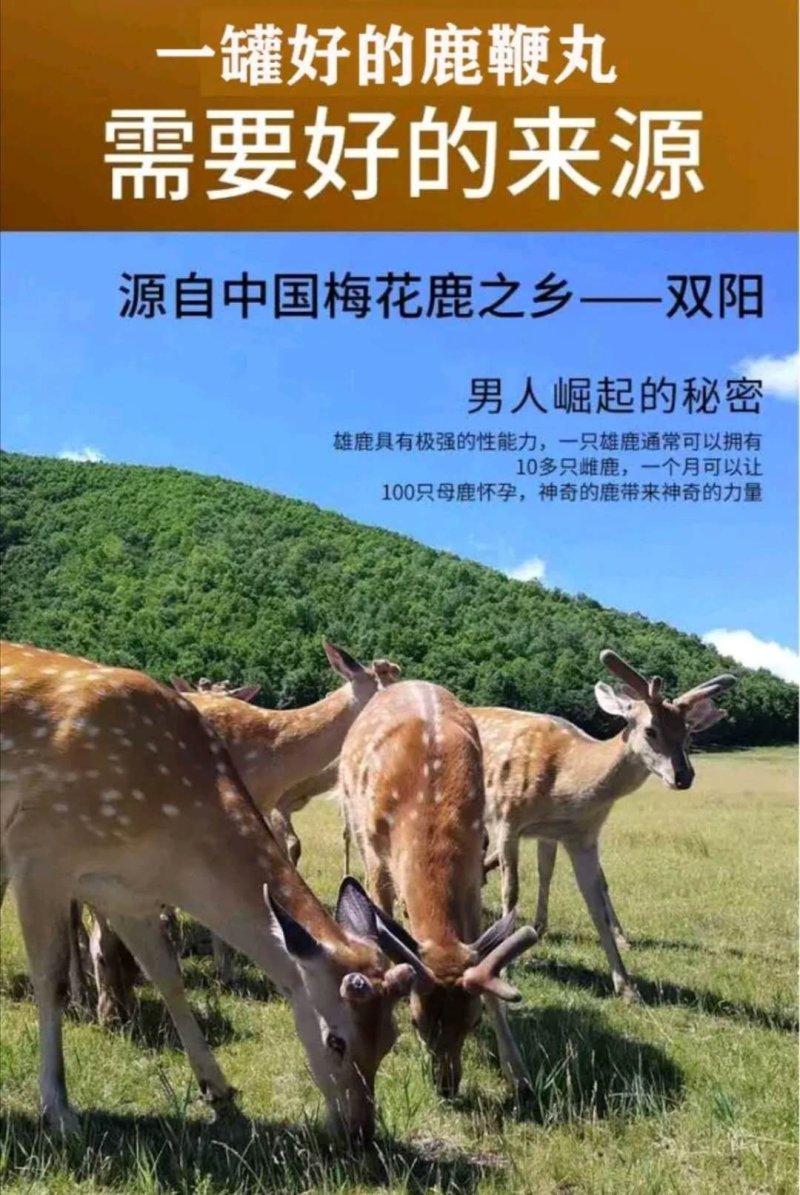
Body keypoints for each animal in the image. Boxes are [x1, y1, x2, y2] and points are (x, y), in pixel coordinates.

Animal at [0, 640, 437, 1140]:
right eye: (336, 1041)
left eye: (392, 1037)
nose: (359, 1131)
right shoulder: (38, 854)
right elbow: (49, 982)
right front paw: (58, 1107)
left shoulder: (127, 894)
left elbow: (168, 974)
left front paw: (217, 1087)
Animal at [339, 679, 539, 1099]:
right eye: (417, 1021)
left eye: (474, 1021)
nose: (446, 1086)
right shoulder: (376, 858)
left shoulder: (472, 869)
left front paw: (518, 1075)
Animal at [477, 650, 737, 1001]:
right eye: (650, 729)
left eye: (688, 732)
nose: (684, 777)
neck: (564, 781)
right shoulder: (507, 818)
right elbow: (511, 891)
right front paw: (503, 965)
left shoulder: (580, 835)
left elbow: (594, 899)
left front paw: (627, 986)